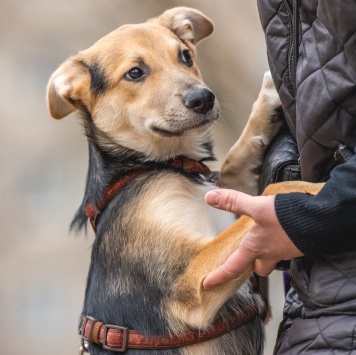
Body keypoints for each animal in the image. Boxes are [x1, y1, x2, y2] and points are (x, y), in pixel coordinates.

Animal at [47, 6, 322, 355]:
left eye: (186, 56)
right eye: (134, 73)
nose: (203, 98)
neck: (164, 166)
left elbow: (233, 165)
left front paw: (267, 99)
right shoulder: (193, 284)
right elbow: (273, 188)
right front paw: (318, 188)